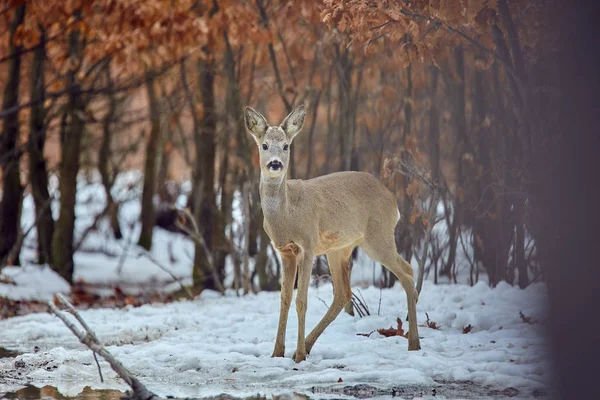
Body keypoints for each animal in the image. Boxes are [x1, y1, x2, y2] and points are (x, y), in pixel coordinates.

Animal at [244, 104, 422, 362]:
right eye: (264, 145)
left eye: (286, 145)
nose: (275, 164)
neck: (287, 215)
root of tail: (393, 201)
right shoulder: (285, 251)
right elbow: (284, 299)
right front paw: (277, 353)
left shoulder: (307, 244)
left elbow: (301, 300)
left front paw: (298, 356)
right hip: (339, 248)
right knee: (343, 292)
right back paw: (309, 344)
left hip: (378, 236)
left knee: (406, 273)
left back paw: (414, 343)